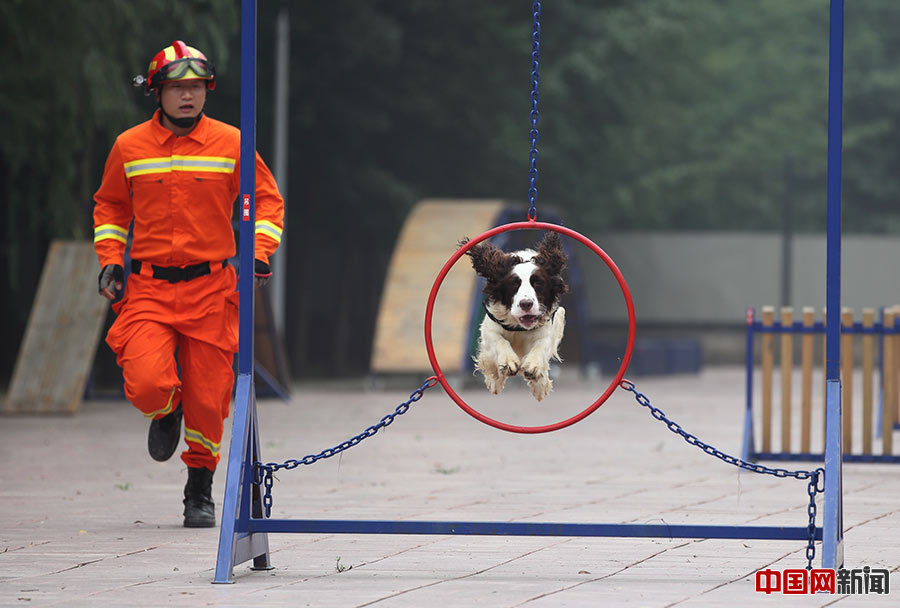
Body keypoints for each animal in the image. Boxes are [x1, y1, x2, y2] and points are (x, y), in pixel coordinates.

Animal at [460, 232, 568, 400]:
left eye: (538, 283)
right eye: (513, 284)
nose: (526, 304)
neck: (518, 326)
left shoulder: (546, 331)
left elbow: (541, 345)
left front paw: (534, 368)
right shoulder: (490, 328)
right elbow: (499, 340)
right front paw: (508, 362)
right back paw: (495, 381)